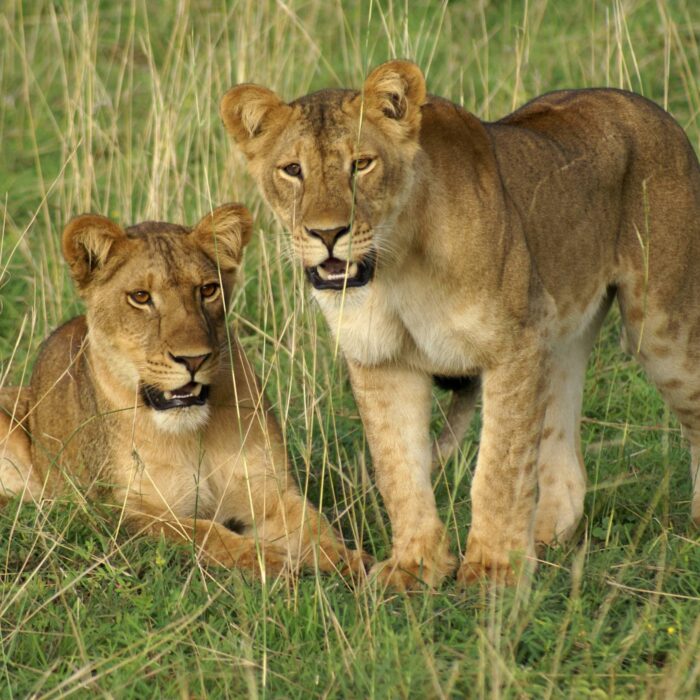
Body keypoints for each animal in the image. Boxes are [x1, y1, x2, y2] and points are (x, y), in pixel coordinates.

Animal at [0, 204, 365, 578]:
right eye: (141, 297)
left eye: (207, 290)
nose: (194, 359)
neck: (191, 433)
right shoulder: (126, 513)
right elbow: (205, 533)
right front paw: (274, 564)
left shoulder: (271, 492)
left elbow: (315, 526)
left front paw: (354, 565)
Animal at [221, 60, 700, 589]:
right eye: (292, 170)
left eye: (361, 164)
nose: (328, 234)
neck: (395, 268)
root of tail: (654, 110)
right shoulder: (379, 360)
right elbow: (398, 467)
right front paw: (414, 565)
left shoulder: (513, 346)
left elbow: (499, 466)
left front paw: (493, 569)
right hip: (559, 337)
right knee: (564, 457)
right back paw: (545, 541)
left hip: (660, 329)